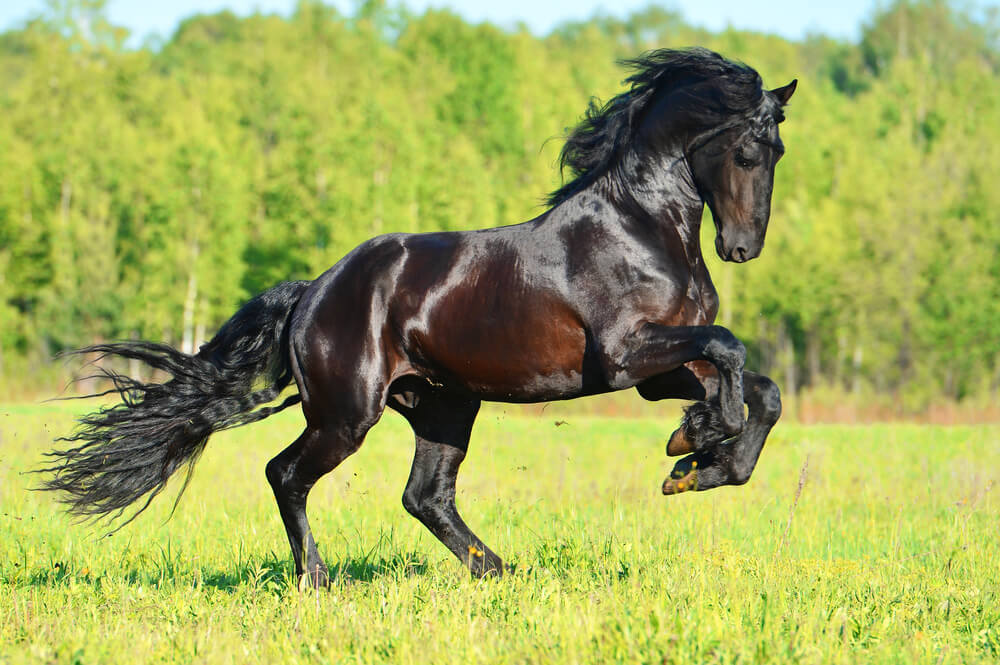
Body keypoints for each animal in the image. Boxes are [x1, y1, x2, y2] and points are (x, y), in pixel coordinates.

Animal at [41, 48, 796, 587]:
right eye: (746, 151)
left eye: (778, 152)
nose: (742, 247)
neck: (641, 226)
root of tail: (313, 291)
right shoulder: (624, 356)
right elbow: (731, 350)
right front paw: (698, 440)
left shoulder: (660, 368)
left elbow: (762, 390)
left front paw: (697, 460)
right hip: (346, 414)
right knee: (286, 473)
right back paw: (317, 579)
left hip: (442, 406)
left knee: (424, 495)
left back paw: (497, 569)